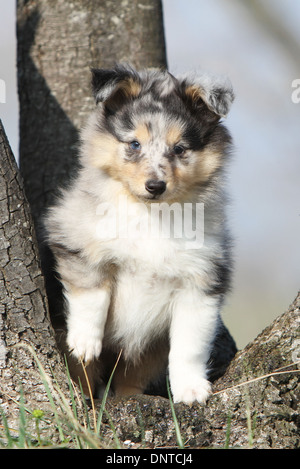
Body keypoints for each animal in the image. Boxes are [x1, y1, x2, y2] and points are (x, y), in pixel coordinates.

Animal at [44, 64, 237, 404]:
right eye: (135, 144)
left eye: (179, 149)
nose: (155, 186)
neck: (151, 215)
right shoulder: (80, 245)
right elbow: (91, 297)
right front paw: (85, 341)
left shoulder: (201, 280)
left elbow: (189, 344)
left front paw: (191, 389)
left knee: (131, 380)